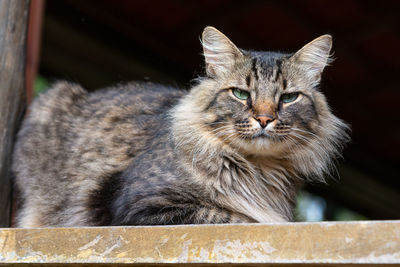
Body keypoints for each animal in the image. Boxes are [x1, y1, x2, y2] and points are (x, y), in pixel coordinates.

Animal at [12, 26, 348, 228]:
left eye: (289, 98)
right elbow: (237, 217)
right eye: (240, 94)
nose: (265, 119)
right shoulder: (141, 206)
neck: (259, 169)